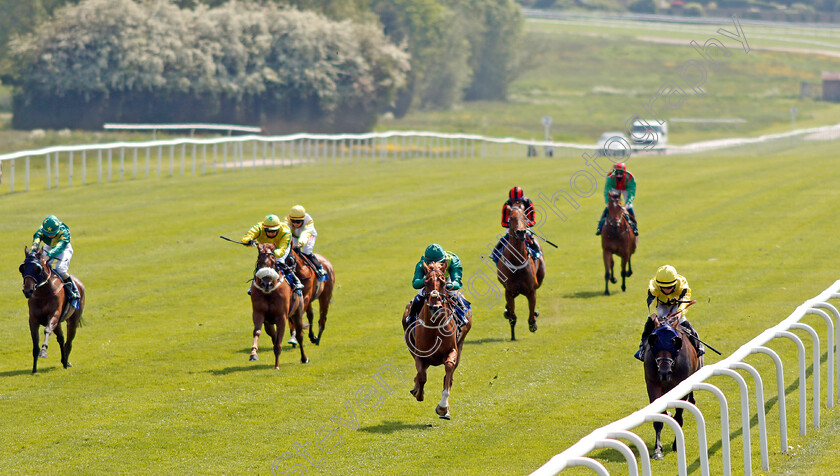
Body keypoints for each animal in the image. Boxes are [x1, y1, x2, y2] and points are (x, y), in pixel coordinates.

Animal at [402, 260, 472, 420]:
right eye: (426, 282)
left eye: (444, 282)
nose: (435, 306)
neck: (434, 328)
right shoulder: (419, 354)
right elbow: (422, 376)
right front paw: (418, 392)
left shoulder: (453, 350)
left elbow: (449, 369)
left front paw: (443, 407)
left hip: (461, 345)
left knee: (450, 375)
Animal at [496, 200, 548, 338]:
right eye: (511, 218)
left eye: (524, 217)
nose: (520, 232)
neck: (517, 262)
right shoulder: (509, 291)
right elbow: (512, 317)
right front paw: (513, 335)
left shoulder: (531, 291)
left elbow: (531, 316)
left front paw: (533, 323)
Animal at [644, 314, 704, 460]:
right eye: (654, 341)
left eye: (675, 342)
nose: (664, 372)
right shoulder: (653, 384)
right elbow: (659, 417)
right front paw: (657, 450)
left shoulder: (682, 386)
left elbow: (679, 417)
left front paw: (676, 445)